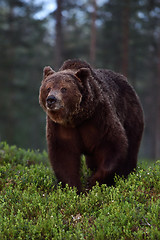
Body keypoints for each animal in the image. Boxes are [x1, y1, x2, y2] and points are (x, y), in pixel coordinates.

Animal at [39, 59, 144, 192]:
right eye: (48, 88)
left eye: (64, 88)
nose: (51, 99)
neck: (77, 119)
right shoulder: (61, 128)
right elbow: (64, 156)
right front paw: (74, 188)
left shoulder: (99, 119)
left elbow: (113, 145)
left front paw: (92, 182)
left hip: (131, 116)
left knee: (131, 148)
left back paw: (126, 174)